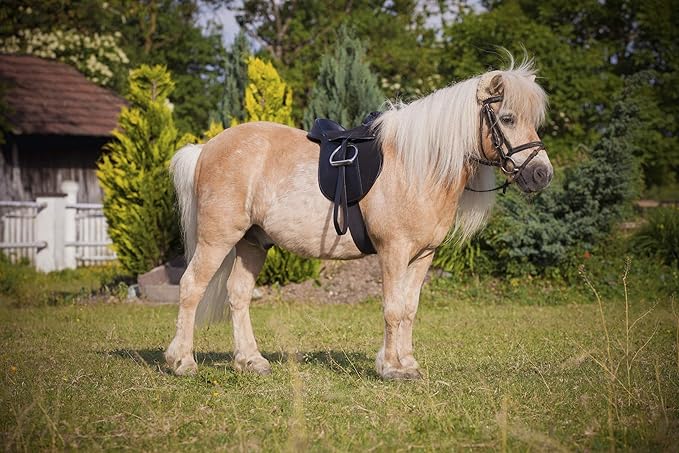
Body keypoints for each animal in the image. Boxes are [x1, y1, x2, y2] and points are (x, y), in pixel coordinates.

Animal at [164, 58, 552, 380]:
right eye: (507, 118)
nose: (541, 174)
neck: (415, 166)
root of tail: (206, 148)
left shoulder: (423, 255)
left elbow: (409, 309)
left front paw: (407, 363)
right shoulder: (394, 251)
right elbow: (393, 308)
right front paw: (392, 368)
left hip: (253, 242)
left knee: (238, 294)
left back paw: (250, 361)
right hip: (218, 238)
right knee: (191, 287)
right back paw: (182, 361)